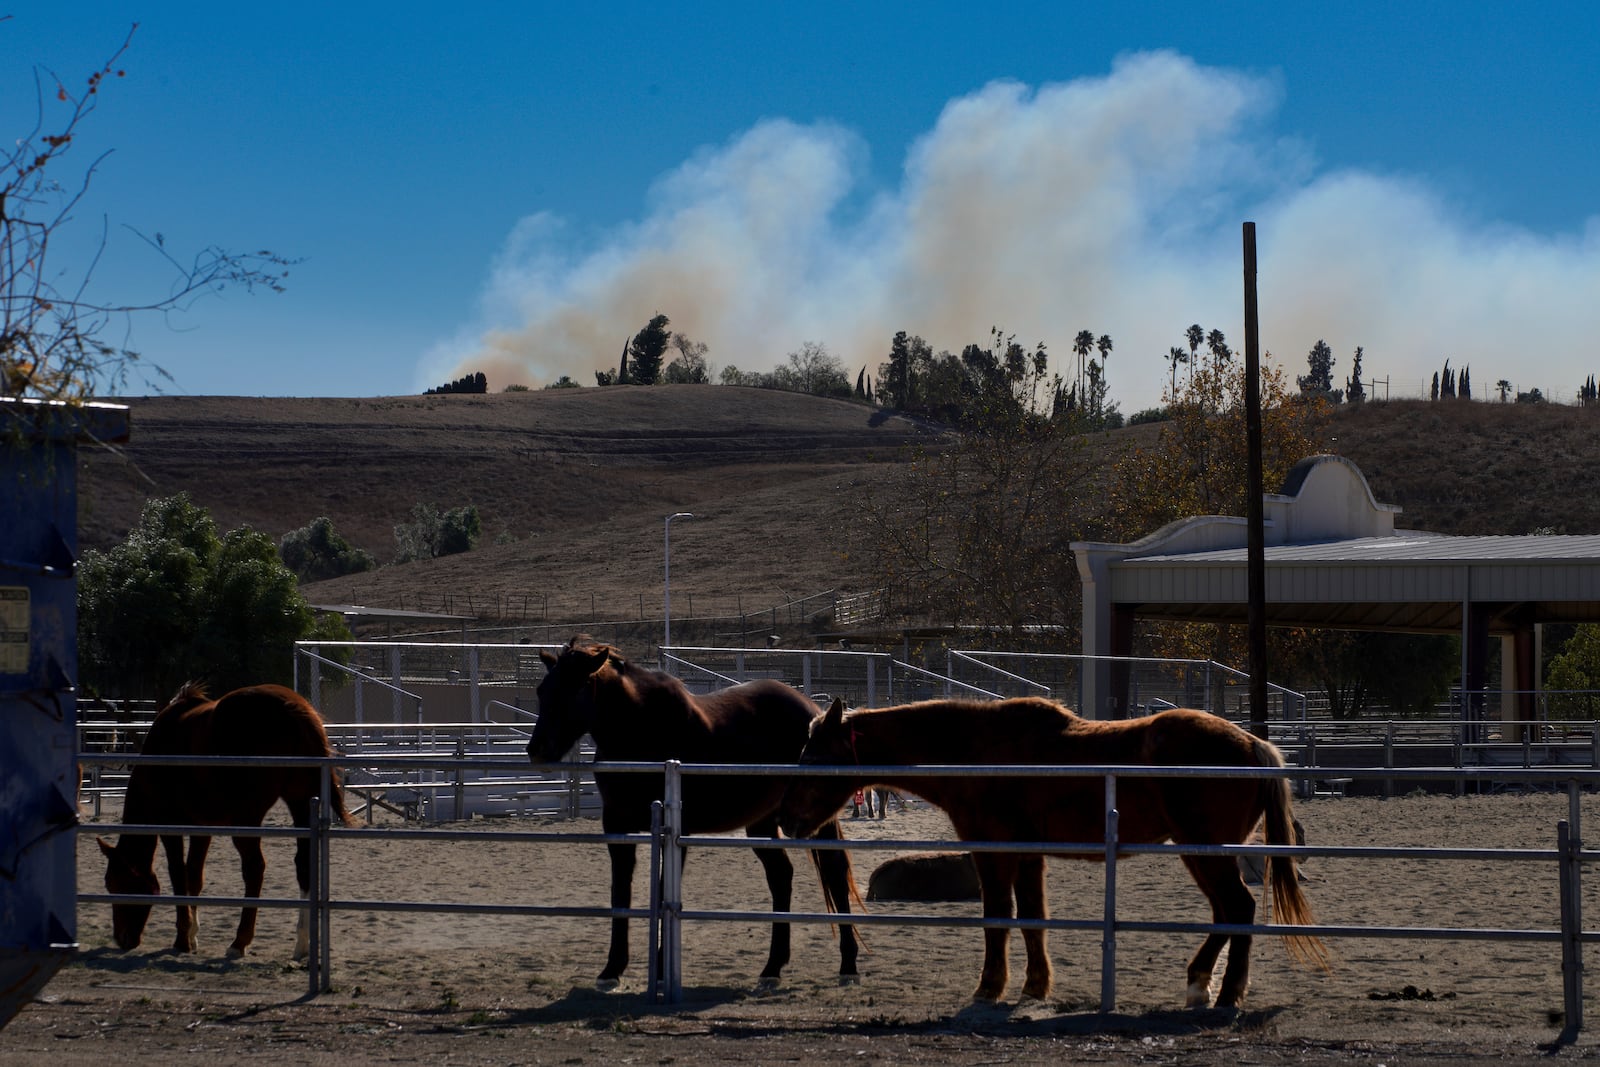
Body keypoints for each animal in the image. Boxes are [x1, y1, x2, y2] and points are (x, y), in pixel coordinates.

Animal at [99, 684, 353, 959]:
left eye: (114, 883)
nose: (122, 939)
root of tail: (294, 709)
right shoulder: (202, 828)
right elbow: (194, 876)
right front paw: (193, 935)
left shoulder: (169, 827)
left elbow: (178, 874)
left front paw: (182, 939)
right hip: (300, 803)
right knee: (303, 865)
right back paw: (302, 944)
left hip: (247, 818)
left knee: (254, 869)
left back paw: (239, 942)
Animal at [528, 633, 864, 991]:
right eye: (542, 690)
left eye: (574, 688)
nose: (537, 750)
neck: (641, 730)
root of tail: (815, 712)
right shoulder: (616, 827)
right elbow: (620, 894)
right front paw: (612, 969)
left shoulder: (677, 830)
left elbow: (664, 891)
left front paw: (661, 969)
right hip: (761, 822)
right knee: (781, 876)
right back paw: (772, 967)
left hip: (817, 817)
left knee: (834, 871)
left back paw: (847, 964)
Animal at [774, 697, 1324, 1017]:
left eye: (812, 756)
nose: (786, 819)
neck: (980, 750)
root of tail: (1252, 744)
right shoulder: (1027, 855)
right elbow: (1033, 919)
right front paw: (1036, 987)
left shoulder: (994, 852)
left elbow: (999, 918)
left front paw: (990, 987)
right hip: (1204, 855)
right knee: (1227, 913)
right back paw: (1201, 985)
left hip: (1207, 854)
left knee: (1239, 909)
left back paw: (1225, 994)